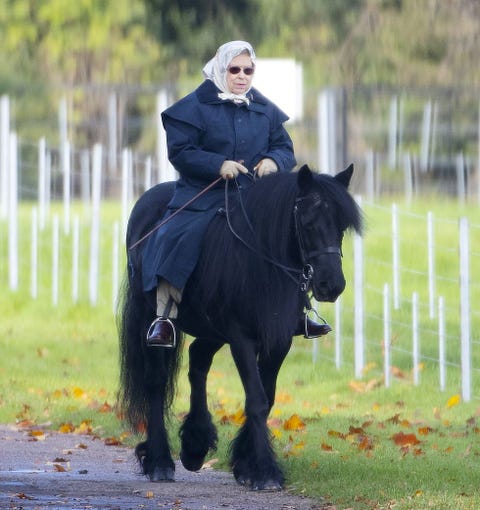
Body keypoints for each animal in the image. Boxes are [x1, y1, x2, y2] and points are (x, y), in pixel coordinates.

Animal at [118, 163, 362, 490]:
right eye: (308, 222)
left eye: (341, 225)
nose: (331, 285)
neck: (260, 259)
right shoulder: (241, 338)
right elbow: (256, 399)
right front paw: (265, 471)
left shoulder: (278, 340)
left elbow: (267, 397)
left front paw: (246, 464)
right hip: (153, 319)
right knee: (156, 381)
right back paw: (160, 462)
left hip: (211, 330)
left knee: (198, 360)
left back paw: (195, 445)